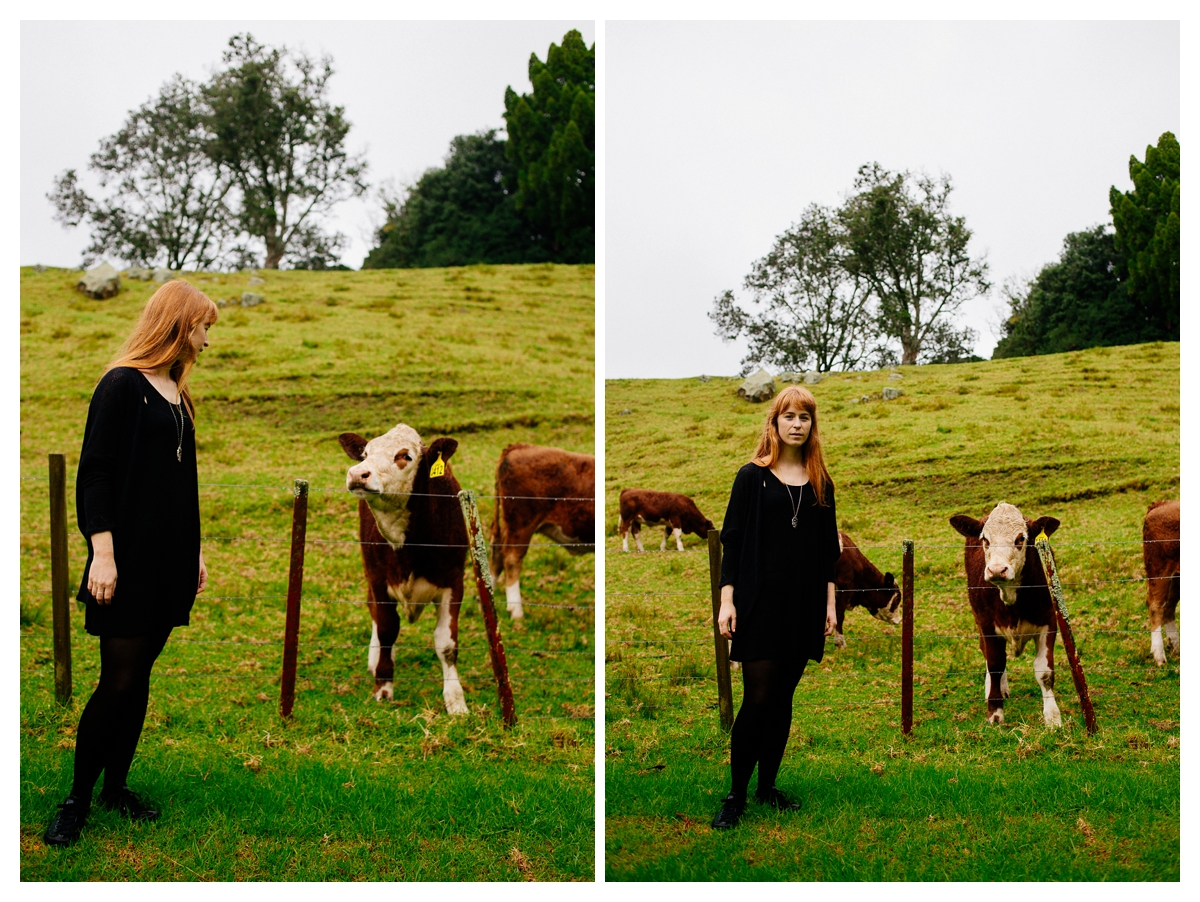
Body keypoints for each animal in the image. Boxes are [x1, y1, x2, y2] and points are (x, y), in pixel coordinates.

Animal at [340, 427, 470, 714]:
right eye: (365, 454)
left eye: (405, 456)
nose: (357, 473)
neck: (408, 544)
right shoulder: (378, 579)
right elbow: (387, 629)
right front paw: (383, 686)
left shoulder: (454, 581)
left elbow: (447, 643)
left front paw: (456, 700)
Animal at [950, 503, 1065, 729]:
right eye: (985, 539)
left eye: (1020, 538)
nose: (997, 570)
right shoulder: (986, 624)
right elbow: (995, 664)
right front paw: (995, 713)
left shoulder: (1049, 621)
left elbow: (1045, 671)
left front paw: (1053, 717)